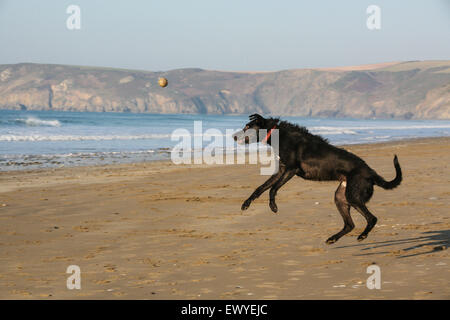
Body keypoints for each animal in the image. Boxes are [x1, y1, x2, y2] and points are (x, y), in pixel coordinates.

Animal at [234, 114, 402, 244]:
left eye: (247, 126)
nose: (233, 136)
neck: (276, 133)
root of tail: (371, 172)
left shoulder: (291, 170)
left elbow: (273, 189)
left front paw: (273, 206)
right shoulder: (280, 170)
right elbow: (262, 187)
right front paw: (246, 203)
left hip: (353, 196)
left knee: (372, 218)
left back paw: (362, 235)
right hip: (340, 197)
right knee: (350, 225)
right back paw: (333, 238)